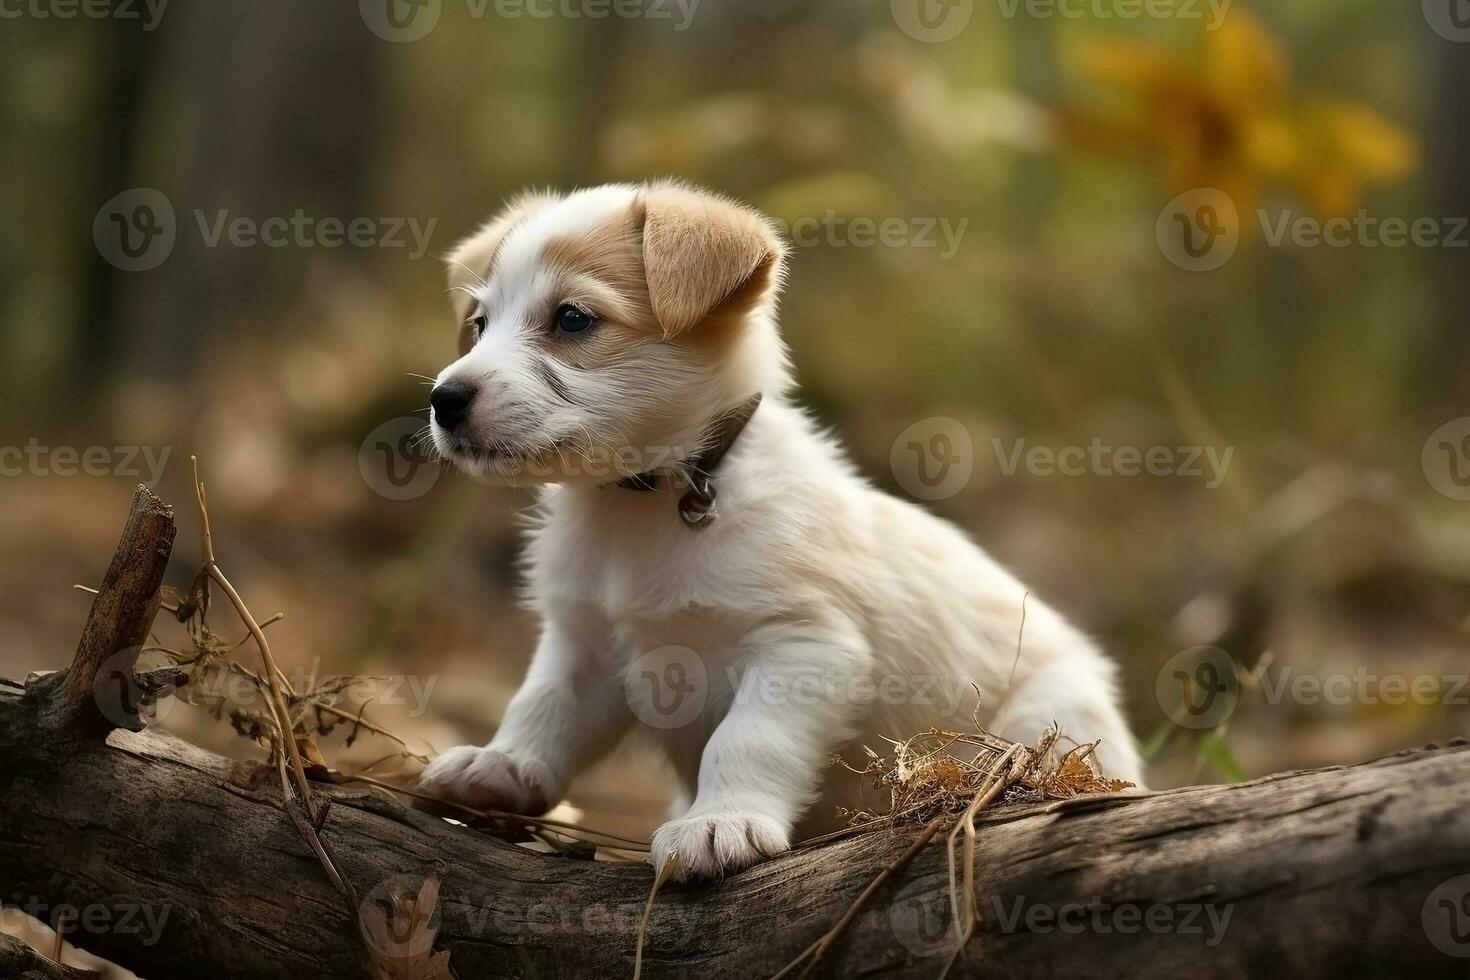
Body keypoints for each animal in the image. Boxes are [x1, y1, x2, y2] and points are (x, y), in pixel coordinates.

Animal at [420, 179, 1140, 875]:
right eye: (480, 323)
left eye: (572, 318)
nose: (443, 400)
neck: (650, 501)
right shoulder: (585, 644)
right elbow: (542, 707)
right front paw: (503, 766)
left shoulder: (803, 647)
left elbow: (746, 740)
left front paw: (720, 821)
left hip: (1049, 706)